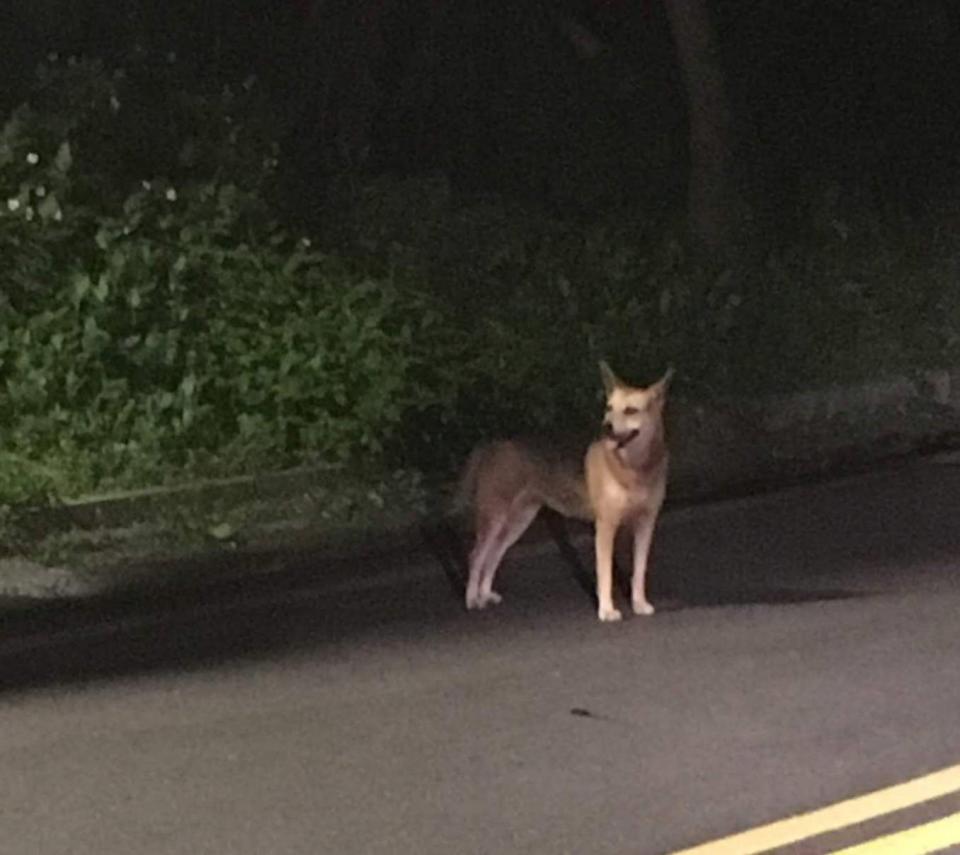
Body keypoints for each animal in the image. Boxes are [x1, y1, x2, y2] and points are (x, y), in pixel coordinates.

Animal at [454, 362, 672, 620]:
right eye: (609, 408)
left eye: (631, 411)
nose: (606, 427)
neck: (633, 468)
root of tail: (492, 443)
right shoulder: (605, 526)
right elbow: (605, 575)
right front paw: (606, 610)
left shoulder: (646, 524)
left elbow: (639, 571)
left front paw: (639, 604)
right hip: (495, 517)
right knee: (477, 556)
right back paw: (471, 599)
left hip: (519, 520)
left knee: (493, 554)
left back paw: (485, 594)